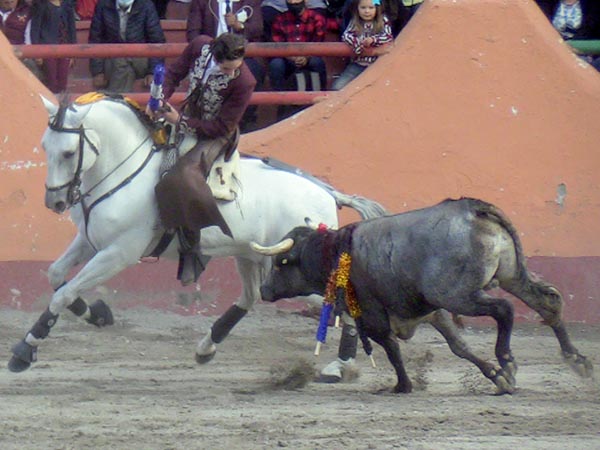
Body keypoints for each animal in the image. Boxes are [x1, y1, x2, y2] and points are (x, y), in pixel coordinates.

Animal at [8, 94, 388, 373]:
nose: (55, 201)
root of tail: (327, 192)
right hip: (251, 256)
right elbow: (57, 276)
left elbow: (62, 293)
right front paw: (98, 313)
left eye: (69, 152)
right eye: (44, 146)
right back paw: (206, 347)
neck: (123, 172)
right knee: (251, 296)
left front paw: (25, 350)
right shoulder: (90, 242)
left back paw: (341, 364)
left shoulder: (119, 253)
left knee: (336, 300)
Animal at [251, 197, 593, 394]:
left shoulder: (374, 319)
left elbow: (391, 350)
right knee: (548, 302)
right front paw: (495, 376)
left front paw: (402, 386)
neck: (336, 254)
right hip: (511, 276)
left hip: (459, 295)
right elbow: (459, 347)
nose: (264, 290)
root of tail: (473, 209)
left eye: (281, 262)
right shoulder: (433, 313)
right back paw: (577, 360)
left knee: (504, 310)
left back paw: (508, 359)